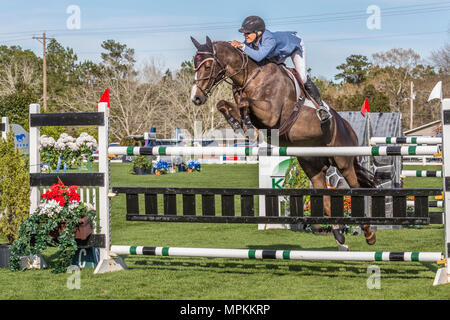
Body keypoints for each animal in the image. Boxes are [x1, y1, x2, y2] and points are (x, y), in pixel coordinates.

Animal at [189, 36, 376, 246]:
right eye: (195, 65)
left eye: (207, 66)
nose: (196, 97)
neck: (250, 76)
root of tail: (347, 126)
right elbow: (226, 104)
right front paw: (238, 123)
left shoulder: (271, 116)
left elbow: (245, 103)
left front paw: (247, 125)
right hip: (311, 165)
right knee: (324, 193)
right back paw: (338, 233)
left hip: (343, 161)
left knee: (356, 188)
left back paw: (368, 233)